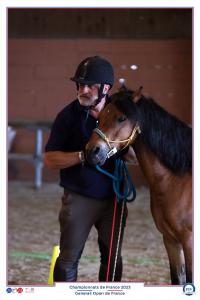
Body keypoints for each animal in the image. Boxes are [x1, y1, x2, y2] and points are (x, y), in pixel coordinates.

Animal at [86, 87, 192, 286]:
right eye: (99, 117)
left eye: (121, 118)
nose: (91, 152)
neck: (179, 177)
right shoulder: (170, 240)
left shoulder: (189, 241)